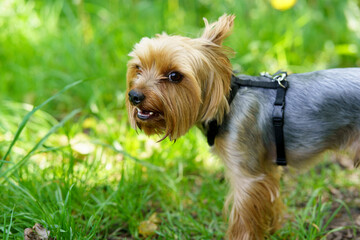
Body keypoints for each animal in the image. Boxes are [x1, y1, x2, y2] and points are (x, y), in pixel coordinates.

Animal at [126, 14, 360, 239]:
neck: (227, 104)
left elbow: (244, 219)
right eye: (138, 68)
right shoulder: (266, 168)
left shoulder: (247, 176)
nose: (134, 96)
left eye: (174, 76)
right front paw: (273, 231)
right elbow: (270, 203)